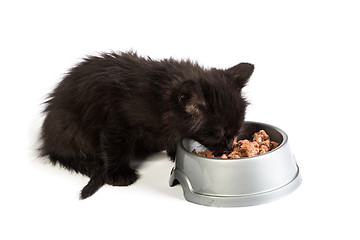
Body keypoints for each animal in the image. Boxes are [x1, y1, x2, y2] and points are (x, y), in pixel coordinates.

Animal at [40, 52, 253, 199]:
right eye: (219, 133)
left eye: (236, 130)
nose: (229, 146)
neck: (158, 97)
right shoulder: (117, 121)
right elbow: (115, 147)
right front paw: (119, 175)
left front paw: (173, 152)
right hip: (71, 130)